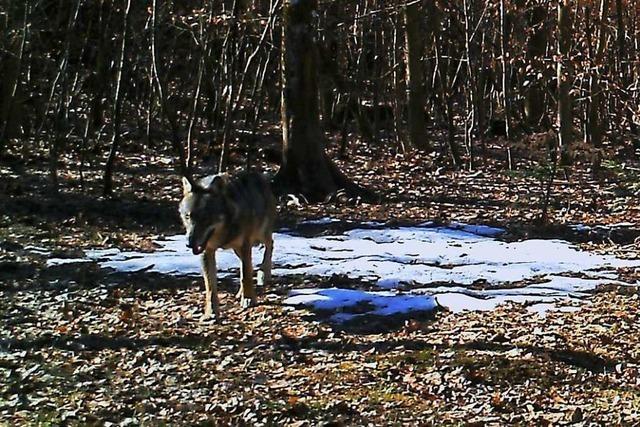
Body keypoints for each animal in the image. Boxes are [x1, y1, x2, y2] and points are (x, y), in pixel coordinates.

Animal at [179, 171, 276, 320]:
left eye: (205, 217)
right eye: (188, 216)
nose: (189, 243)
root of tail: (258, 175)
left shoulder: (245, 244)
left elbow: (245, 276)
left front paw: (248, 299)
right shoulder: (206, 251)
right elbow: (210, 287)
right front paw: (211, 313)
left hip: (260, 234)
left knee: (270, 244)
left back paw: (264, 274)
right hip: (238, 250)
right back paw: (240, 293)